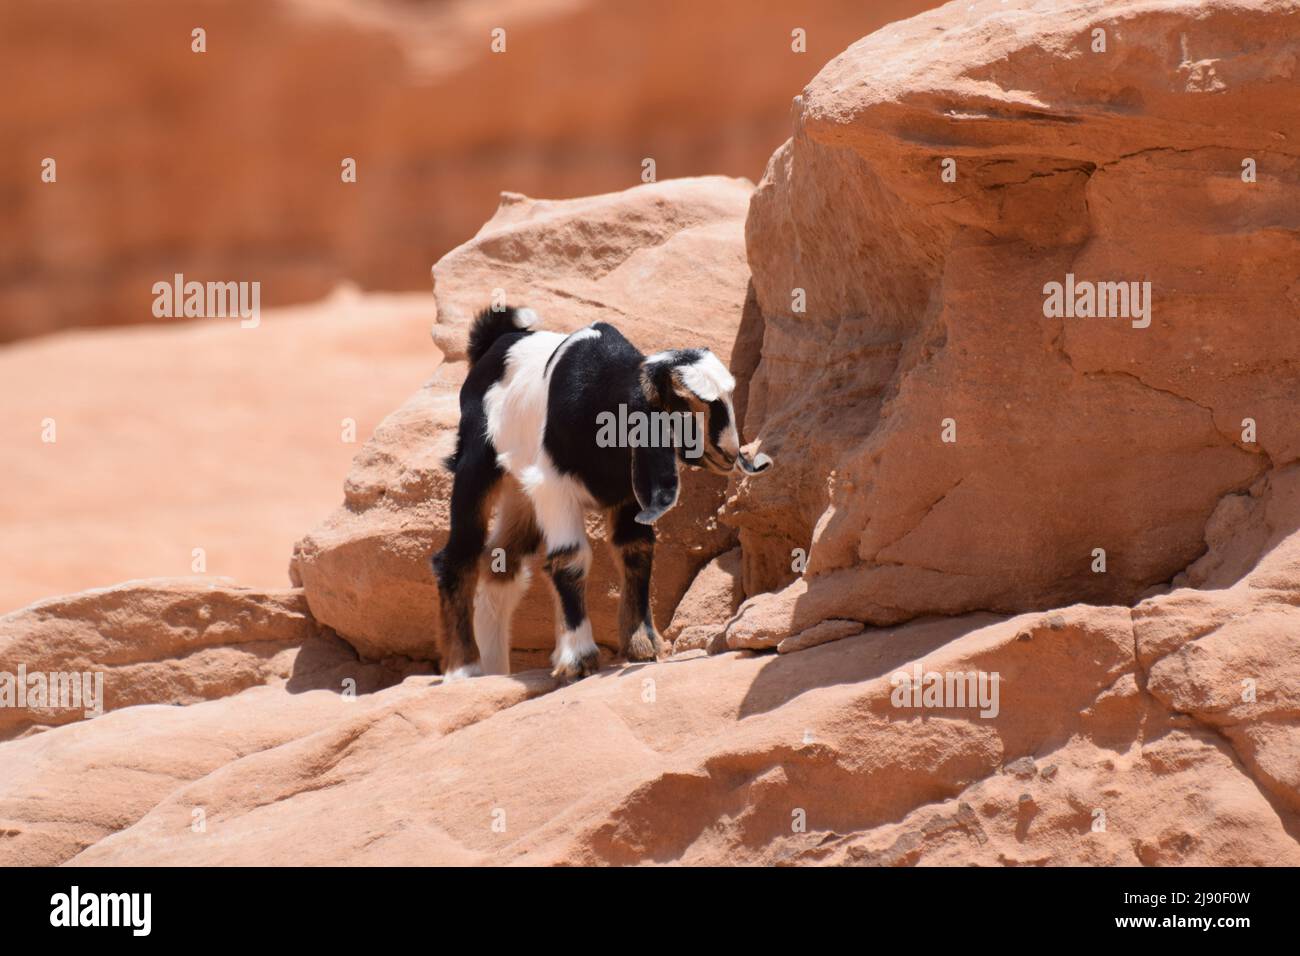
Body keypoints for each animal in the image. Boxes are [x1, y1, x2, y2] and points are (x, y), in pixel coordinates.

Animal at [431, 304, 764, 681]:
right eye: (684, 404)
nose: (730, 454)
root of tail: (493, 342)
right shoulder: (554, 487)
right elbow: (570, 559)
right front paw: (578, 658)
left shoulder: (631, 493)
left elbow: (637, 551)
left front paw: (643, 644)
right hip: (477, 467)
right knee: (457, 558)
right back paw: (465, 669)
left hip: (521, 493)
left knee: (500, 564)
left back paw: (495, 670)